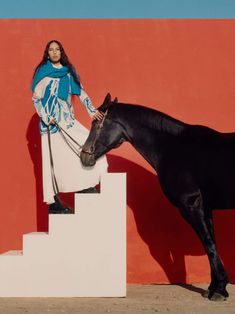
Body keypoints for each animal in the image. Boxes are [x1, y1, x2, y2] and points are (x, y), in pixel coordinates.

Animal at [81, 94, 235, 302]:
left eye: (97, 123)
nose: (83, 156)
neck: (174, 148)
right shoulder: (206, 208)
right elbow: (212, 243)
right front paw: (216, 286)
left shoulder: (192, 206)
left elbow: (208, 244)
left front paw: (218, 290)